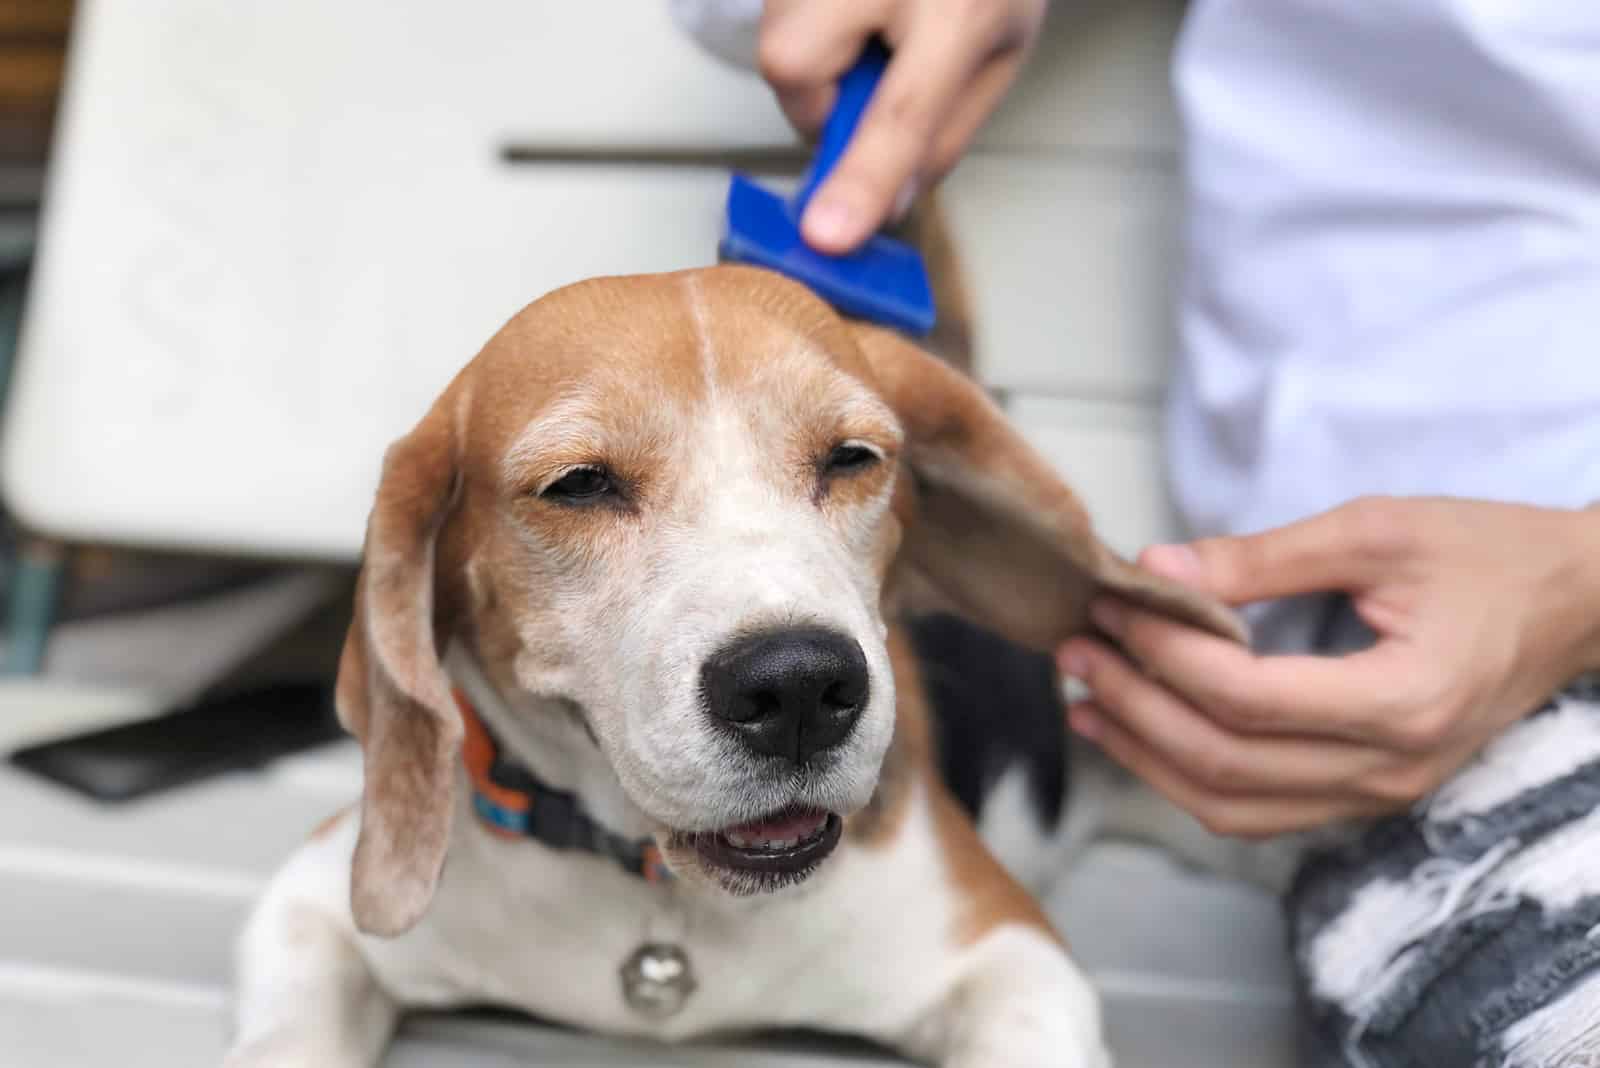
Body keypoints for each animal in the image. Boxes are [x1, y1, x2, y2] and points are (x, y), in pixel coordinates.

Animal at [225, 260, 1248, 1068]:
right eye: (580, 485)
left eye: (851, 458)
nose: (797, 687)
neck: (665, 908)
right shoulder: (315, 901)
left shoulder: (1014, 956)